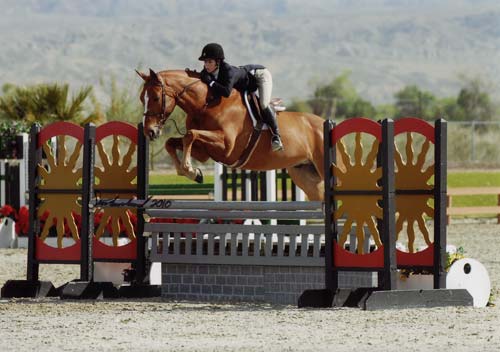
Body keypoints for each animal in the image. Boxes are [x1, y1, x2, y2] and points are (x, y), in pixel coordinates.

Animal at [137, 69, 326, 201]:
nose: (149, 131)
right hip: (305, 175)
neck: (206, 104)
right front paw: (194, 173)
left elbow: (190, 134)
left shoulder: (226, 147)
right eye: (141, 98)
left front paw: (189, 169)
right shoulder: (204, 152)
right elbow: (173, 141)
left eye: (155, 98)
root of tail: (325, 122)